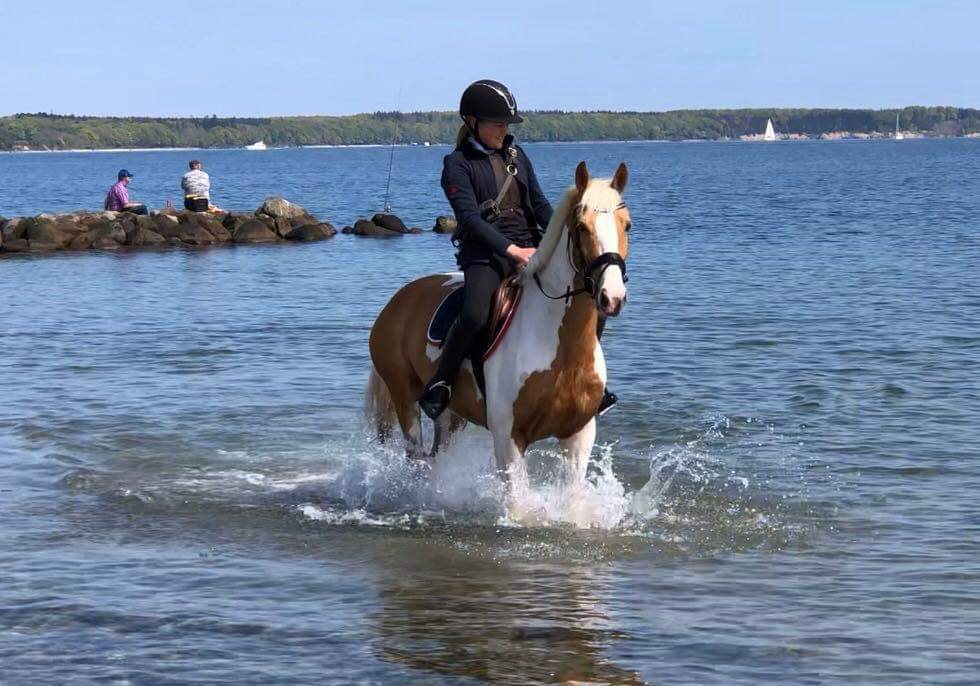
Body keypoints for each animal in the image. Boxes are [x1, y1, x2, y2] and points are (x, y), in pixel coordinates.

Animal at [367, 161, 631, 496]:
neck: (558, 348)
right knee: (415, 456)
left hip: (451, 416)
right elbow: (519, 503)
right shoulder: (509, 437)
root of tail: (399, 299)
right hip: (404, 398)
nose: (612, 297)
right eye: (582, 227)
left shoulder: (578, 435)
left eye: (627, 225)